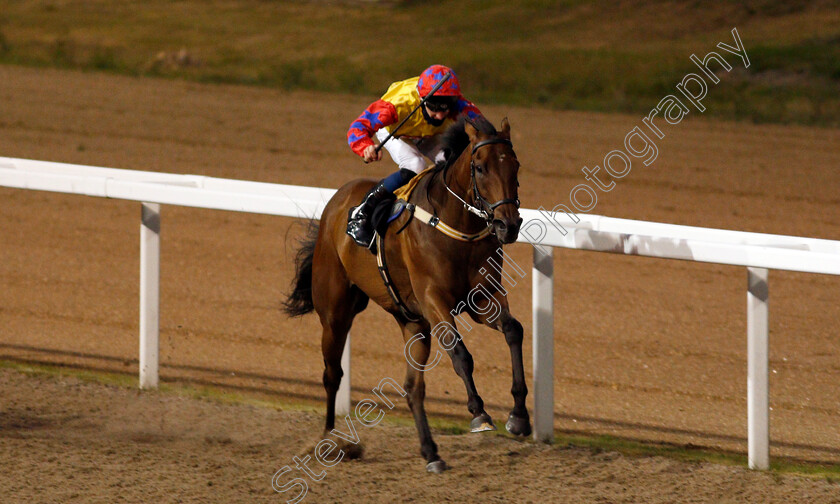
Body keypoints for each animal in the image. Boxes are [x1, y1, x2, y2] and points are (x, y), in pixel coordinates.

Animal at [286, 116, 528, 470]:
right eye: (480, 167)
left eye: (515, 165)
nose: (507, 225)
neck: (458, 225)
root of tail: (336, 202)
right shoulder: (434, 300)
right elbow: (460, 354)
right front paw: (479, 413)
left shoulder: (483, 297)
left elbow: (513, 330)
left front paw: (519, 416)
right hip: (334, 313)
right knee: (332, 374)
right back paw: (330, 442)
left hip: (413, 323)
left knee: (413, 387)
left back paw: (431, 453)